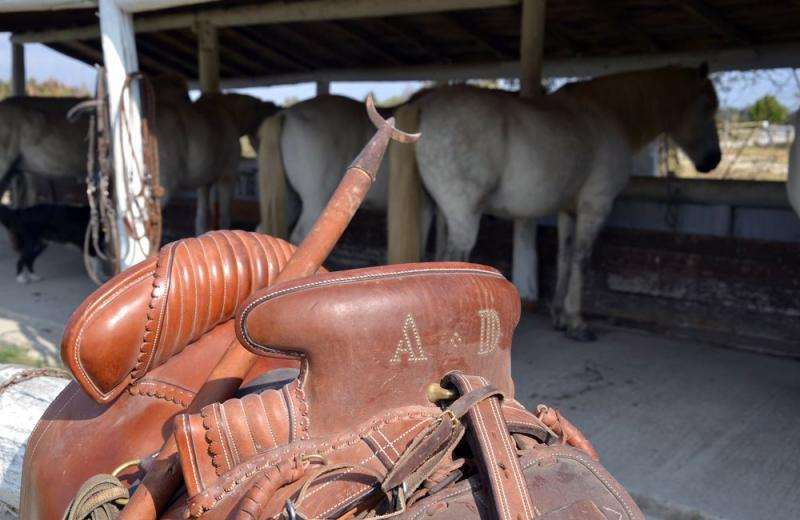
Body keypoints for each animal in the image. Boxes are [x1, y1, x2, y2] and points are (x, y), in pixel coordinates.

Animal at [390, 64, 720, 342]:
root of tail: (425, 104)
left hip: (434, 212)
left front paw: (559, 315)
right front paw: (576, 322)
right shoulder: (595, 206)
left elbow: (565, 256)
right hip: (464, 215)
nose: (713, 160)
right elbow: (581, 259)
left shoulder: (568, 210)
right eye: (707, 107)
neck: (609, 116)